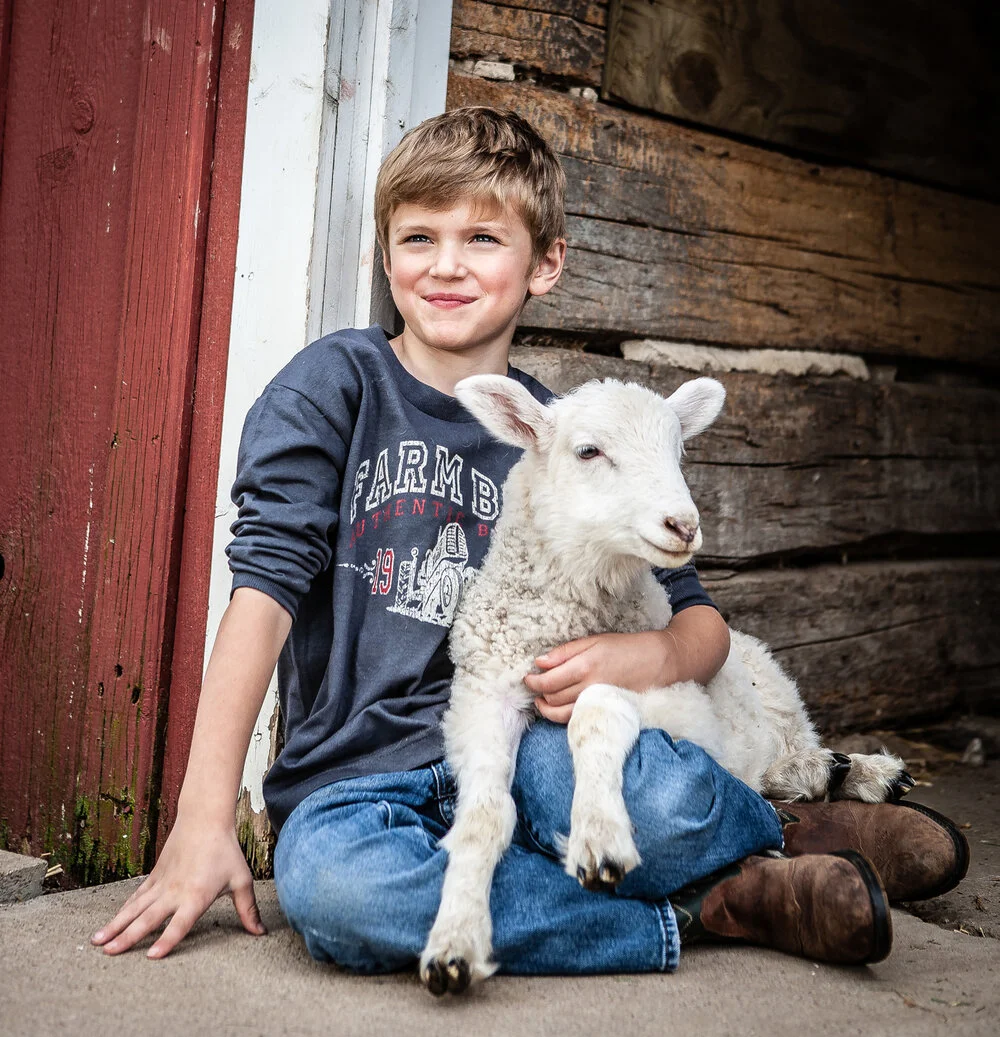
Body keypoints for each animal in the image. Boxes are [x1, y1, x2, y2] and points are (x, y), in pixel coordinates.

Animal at [419, 374, 911, 996]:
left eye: (678, 453)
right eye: (588, 451)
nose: (684, 525)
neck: (569, 613)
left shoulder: (674, 695)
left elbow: (596, 707)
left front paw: (599, 838)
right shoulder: (483, 696)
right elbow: (484, 816)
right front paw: (453, 942)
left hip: (770, 689)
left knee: (779, 757)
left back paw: (863, 774)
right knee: (767, 777)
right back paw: (819, 779)